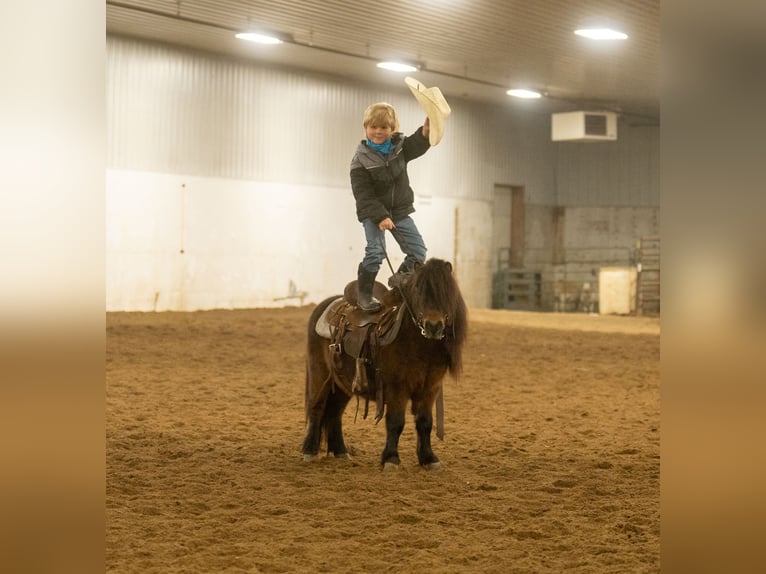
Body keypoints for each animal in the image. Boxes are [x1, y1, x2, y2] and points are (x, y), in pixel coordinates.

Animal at [301, 258, 468, 470]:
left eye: (446, 291)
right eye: (417, 290)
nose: (433, 326)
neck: (419, 345)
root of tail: (324, 305)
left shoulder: (430, 388)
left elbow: (425, 422)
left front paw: (429, 459)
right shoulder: (398, 387)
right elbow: (395, 422)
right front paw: (391, 459)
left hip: (342, 383)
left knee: (334, 412)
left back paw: (340, 451)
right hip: (320, 374)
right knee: (317, 407)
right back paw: (309, 451)